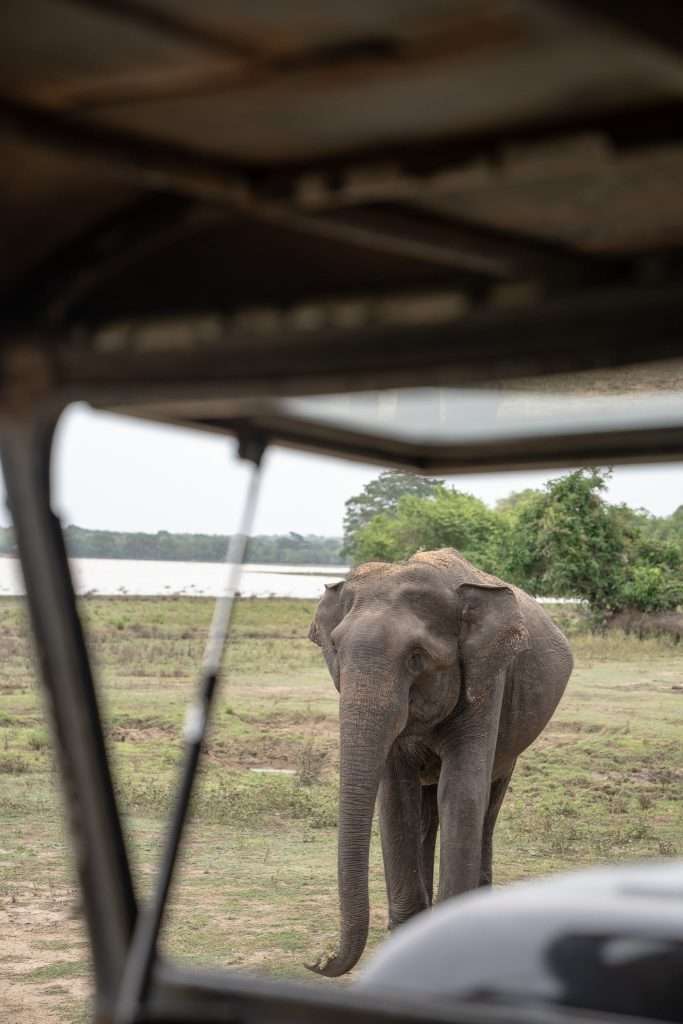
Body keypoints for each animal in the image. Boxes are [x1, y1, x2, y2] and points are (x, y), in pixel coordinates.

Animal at [307, 548, 573, 978]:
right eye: (335, 648)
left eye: (417, 658)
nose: (318, 959)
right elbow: (396, 800)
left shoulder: (488, 679)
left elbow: (461, 792)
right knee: (425, 811)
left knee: (488, 805)